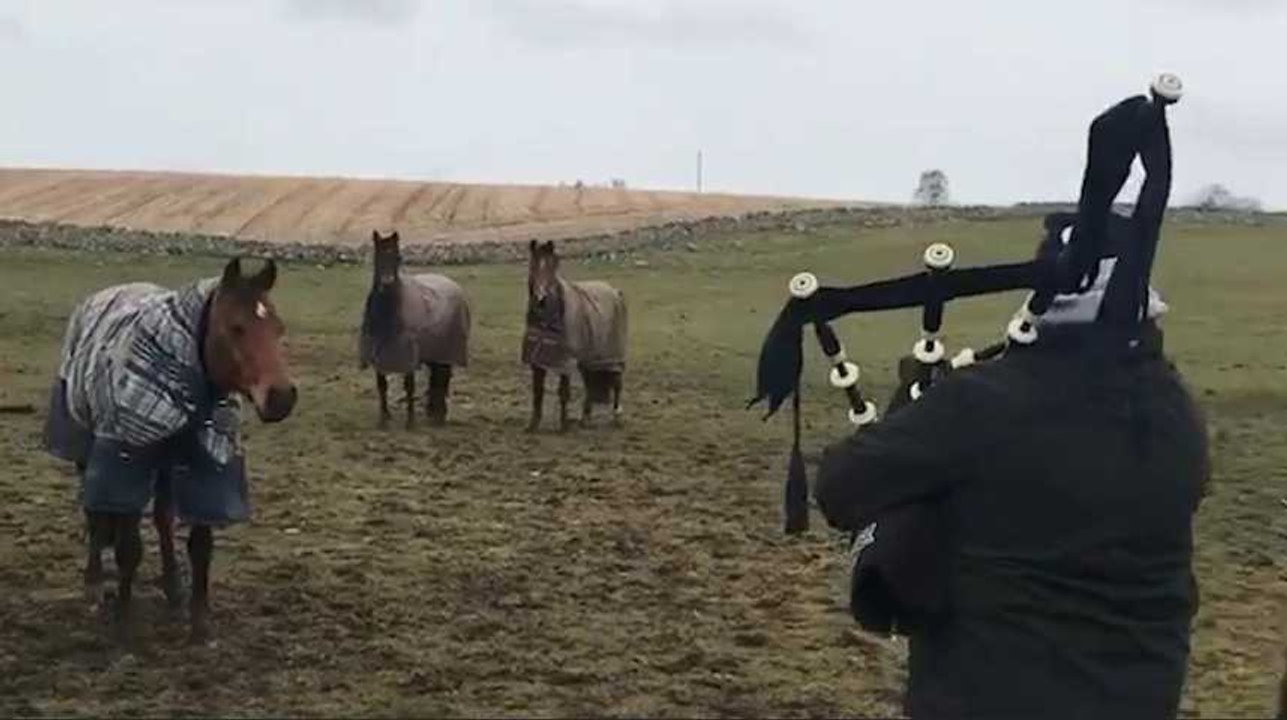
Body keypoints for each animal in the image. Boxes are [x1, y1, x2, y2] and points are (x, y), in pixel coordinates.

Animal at [43, 257, 297, 644]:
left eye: (277, 327)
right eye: (236, 327)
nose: (281, 397)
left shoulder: (209, 461)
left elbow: (200, 546)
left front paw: (200, 625)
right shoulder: (126, 456)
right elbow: (128, 548)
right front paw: (123, 621)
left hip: (163, 466)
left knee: (163, 517)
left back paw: (173, 587)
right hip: (85, 448)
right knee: (95, 516)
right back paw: (95, 585)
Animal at [358, 230, 471, 428]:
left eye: (397, 257)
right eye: (377, 256)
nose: (387, 282)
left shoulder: (409, 355)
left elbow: (409, 386)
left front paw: (410, 422)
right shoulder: (377, 352)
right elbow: (382, 385)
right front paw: (383, 418)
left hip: (447, 350)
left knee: (443, 377)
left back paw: (438, 415)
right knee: (437, 378)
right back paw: (434, 412)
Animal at [522, 239, 627, 432]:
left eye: (552, 267)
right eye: (533, 265)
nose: (541, 298)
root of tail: (614, 291)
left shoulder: (565, 361)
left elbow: (563, 392)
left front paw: (564, 425)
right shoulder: (537, 361)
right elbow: (538, 391)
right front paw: (533, 423)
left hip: (613, 355)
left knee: (617, 383)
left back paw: (617, 416)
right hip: (590, 358)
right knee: (590, 384)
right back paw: (586, 418)